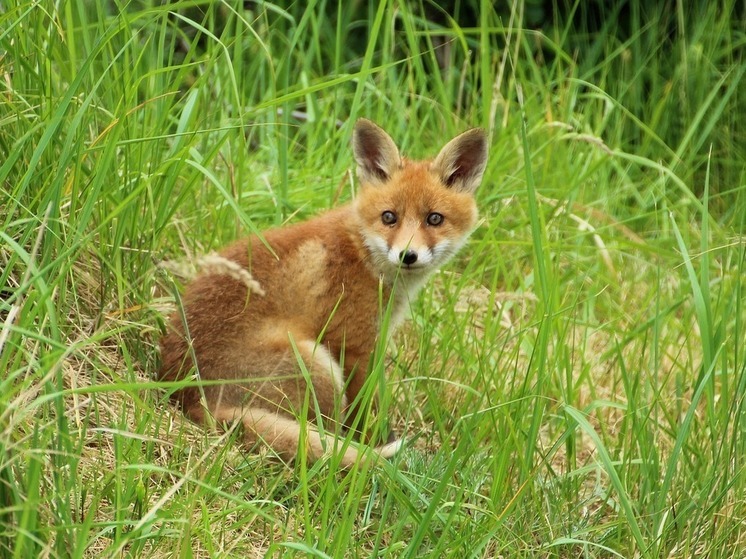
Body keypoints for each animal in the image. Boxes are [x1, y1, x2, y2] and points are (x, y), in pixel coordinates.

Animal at [158, 119, 488, 468]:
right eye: (389, 217)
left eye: (434, 219)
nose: (407, 256)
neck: (363, 254)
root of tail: (191, 399)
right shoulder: (353, 345)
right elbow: (362, 412)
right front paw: (372, 442)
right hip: (319, 366)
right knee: (325, 432)